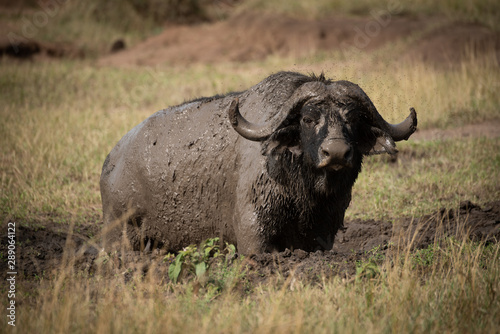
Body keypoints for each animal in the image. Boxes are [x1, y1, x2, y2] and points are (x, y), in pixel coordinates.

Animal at [99, 71, 416, 253]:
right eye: (308, 118)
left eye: (352, 119)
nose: (336, 153)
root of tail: (112, 159)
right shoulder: (253, 237)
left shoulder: (323, 235)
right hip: (120, 234)